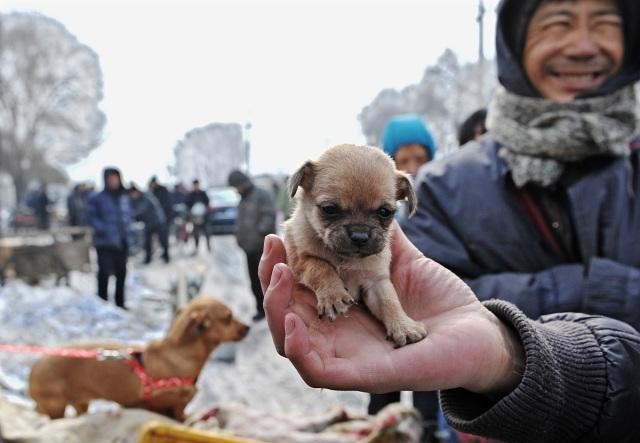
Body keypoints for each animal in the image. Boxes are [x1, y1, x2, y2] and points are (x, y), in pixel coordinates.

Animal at [30, 296, 250, 422]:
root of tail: (34, 368)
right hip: (56, 407)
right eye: (228, 317)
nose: (248, 327)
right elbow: (178, 411)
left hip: (80, 403)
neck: (178, 353)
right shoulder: (168, 401)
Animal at [284, 145, 424, 346]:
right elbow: (321, 267)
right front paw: (333, 294)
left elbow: (389, 301)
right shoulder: (301, 259)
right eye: (329, 209)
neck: (346, 259)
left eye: (384, 212)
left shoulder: (376, 282)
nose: (360, 235)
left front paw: (403, 325)